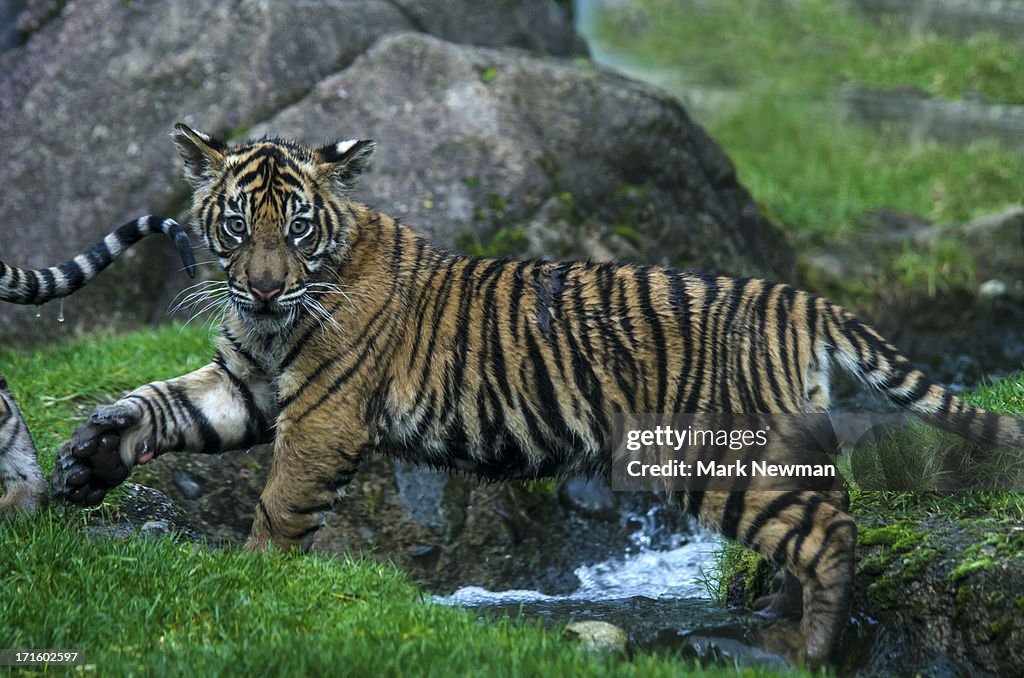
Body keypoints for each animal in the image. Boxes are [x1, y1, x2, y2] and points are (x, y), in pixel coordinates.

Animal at [49, 124, 1024, 666]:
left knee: (829, 529)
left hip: (722, 458)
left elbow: (279, 509)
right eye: (234, 225)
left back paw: (801, 649)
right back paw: (766, 620)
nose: (258, 288)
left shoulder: (320, 419)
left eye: (294, 228)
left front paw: (253, 589)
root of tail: (800, 296)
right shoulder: (243, 383)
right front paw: (88, 459)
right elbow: (159, 403)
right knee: (820, 515)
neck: (273, 326)